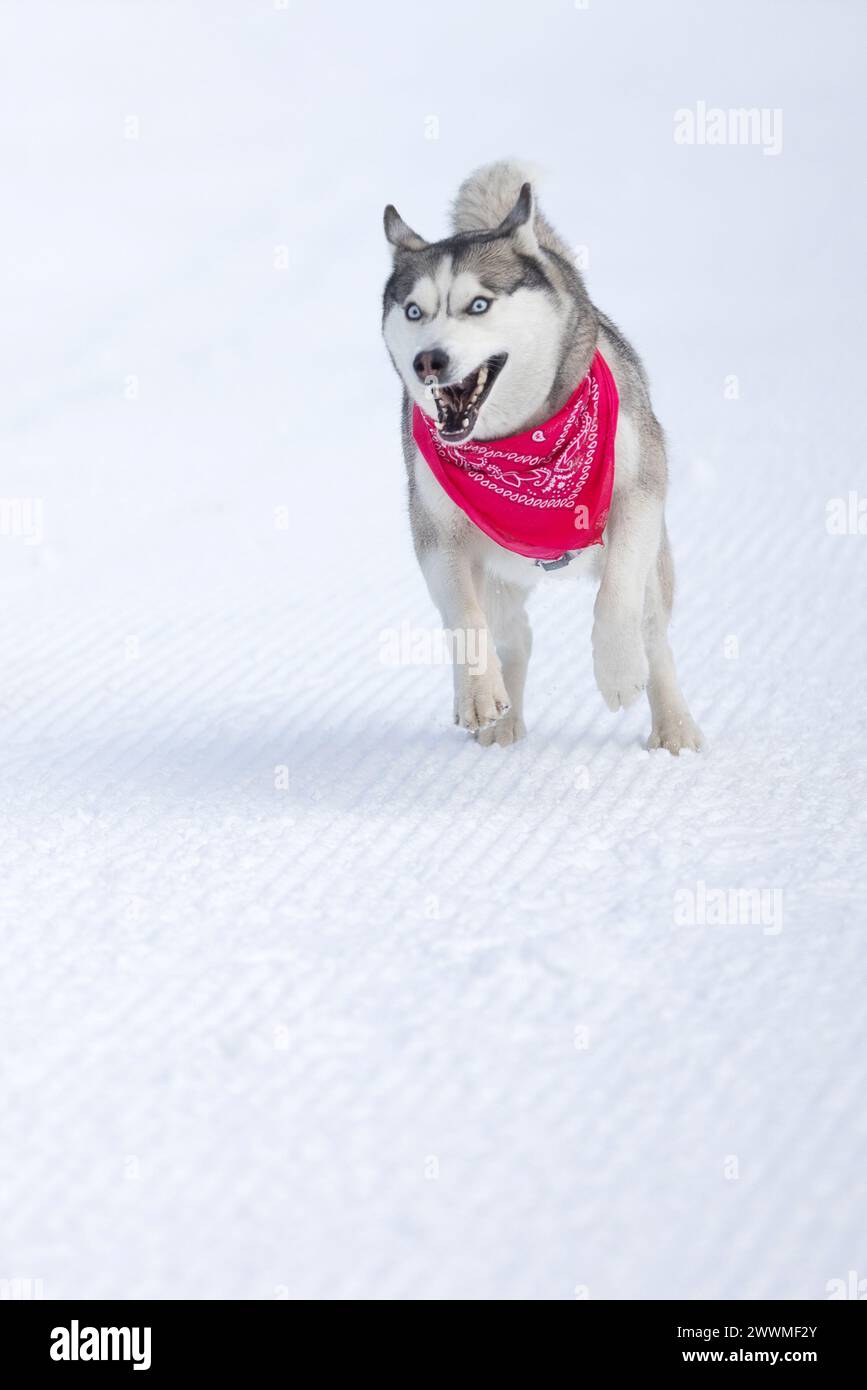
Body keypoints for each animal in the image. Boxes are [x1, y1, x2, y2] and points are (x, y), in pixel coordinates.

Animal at [383, 159, 700, 761]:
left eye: (478, 305)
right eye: (414, 311)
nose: (428, 360)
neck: (520, 442)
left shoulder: (638, 494)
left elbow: (616, 596)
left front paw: (616, 671)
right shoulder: (437, 535)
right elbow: (464, 619)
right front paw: (477, 694)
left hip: (652, 567)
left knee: (654, 635)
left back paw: (673, 725)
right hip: (497, 576)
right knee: (515, 637)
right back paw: (503, 720)